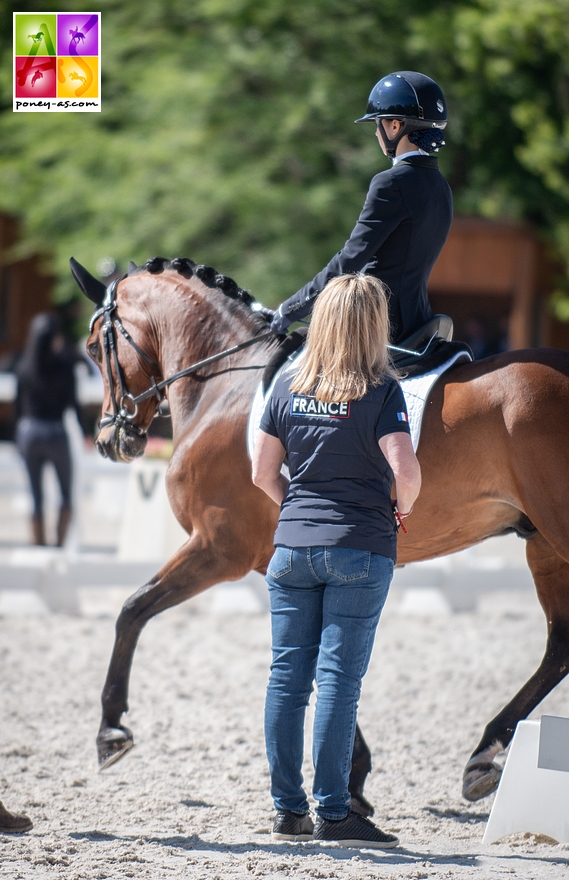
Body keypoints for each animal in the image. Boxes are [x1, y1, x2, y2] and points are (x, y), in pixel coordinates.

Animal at [70, 254, 568, 812]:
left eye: (94, 348)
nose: (111, 440)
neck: (224, 386)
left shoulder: (218, 548)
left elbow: (132, 609)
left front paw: (111, 731)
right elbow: (321, 653)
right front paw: (354, 774)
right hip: (542, 543)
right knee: (560, 644)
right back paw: (484, 757)